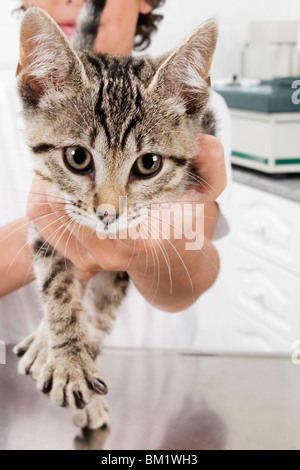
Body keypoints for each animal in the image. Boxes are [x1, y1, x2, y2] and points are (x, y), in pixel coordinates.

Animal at [13, 6, 218, 430]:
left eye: (148, 164)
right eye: (77, 157)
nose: (108, 214)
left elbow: (99, 310)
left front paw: (71, 356)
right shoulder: (45, 210)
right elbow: (57, 284)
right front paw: (68, 358)